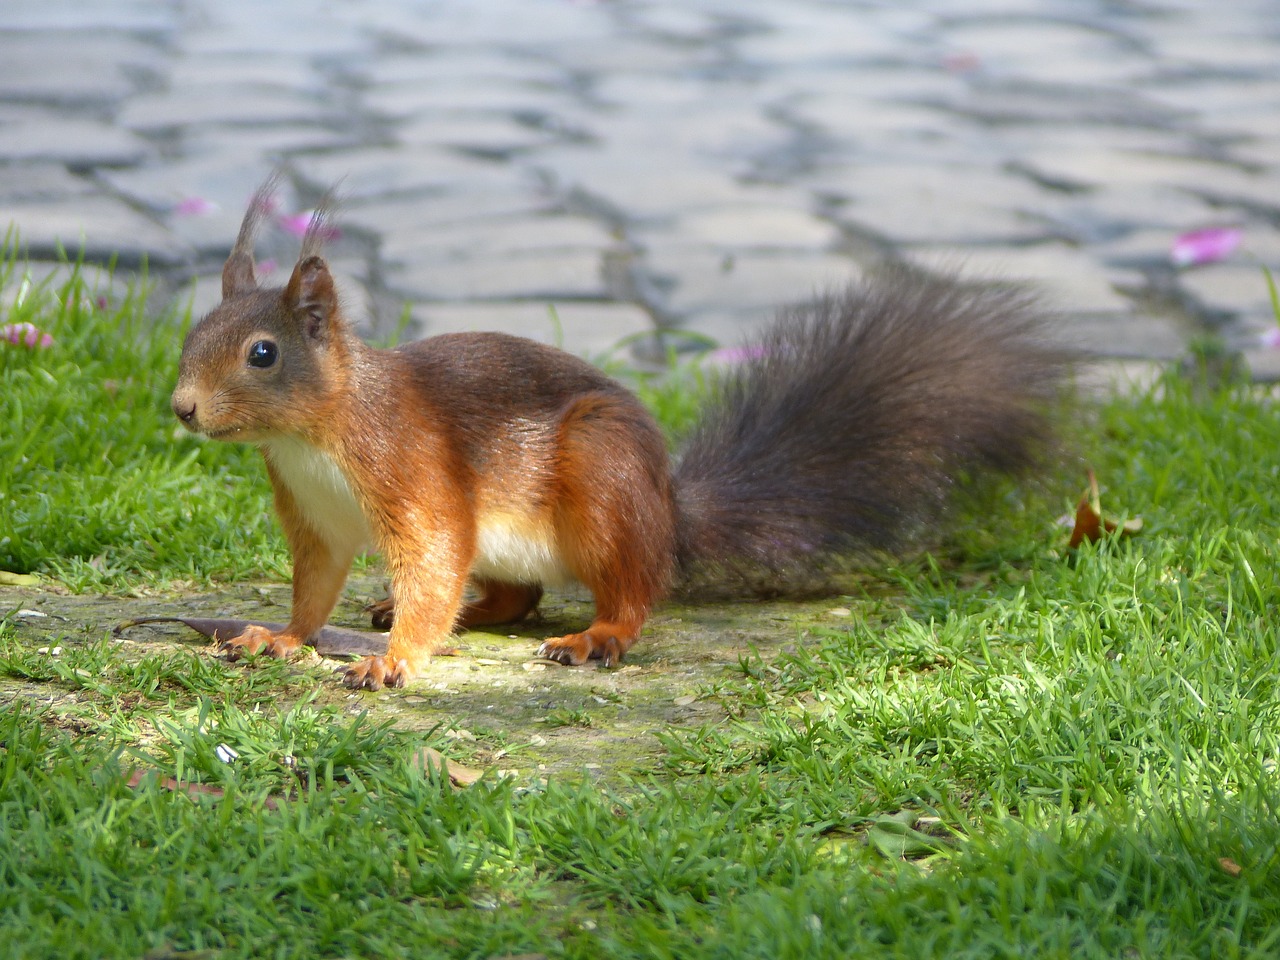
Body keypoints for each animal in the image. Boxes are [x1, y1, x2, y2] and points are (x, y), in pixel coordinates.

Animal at [172, 180, 1070, 691]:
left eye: (262, 353)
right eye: (192, 332)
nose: (181, 408)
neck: (313, 437)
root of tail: (669, 512)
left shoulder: (414, 478)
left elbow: (433, 561)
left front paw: (392, 659)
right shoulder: (317, 521)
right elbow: (315, 589)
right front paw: (283, 639)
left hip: (602, 482)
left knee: (635, 593)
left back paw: (595, 637)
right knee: (519, 596)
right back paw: (465, 610)